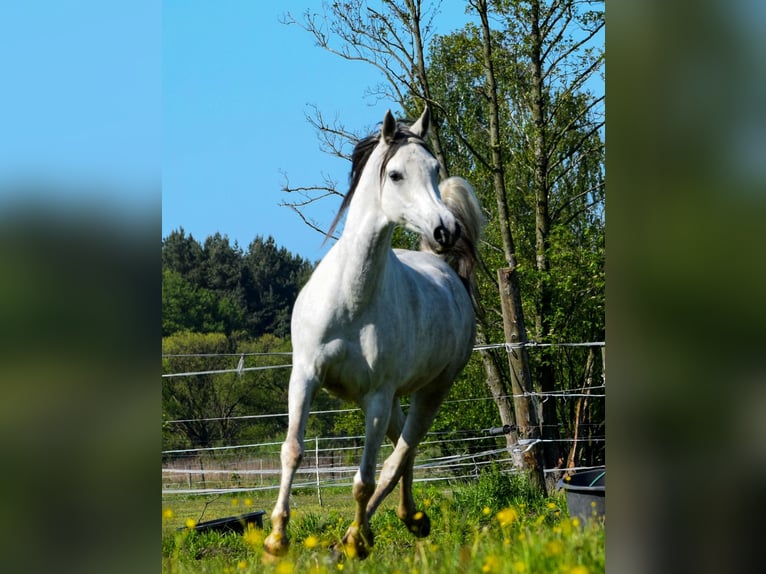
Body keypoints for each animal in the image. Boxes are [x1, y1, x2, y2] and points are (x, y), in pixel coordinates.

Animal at [264, 107, 484, 559]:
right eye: (396, 174)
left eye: (435, 170)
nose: (445, 230)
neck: (351, 299)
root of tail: (447, 270)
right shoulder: (304, 375)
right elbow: (292, 450)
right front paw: (276, 537)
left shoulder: (377, 398)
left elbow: (364, 479)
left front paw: (355, 539)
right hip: (400, 399)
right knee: (405, 449)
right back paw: (410, 517)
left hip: (431, 392)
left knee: (399, 455)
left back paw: (361, 534)